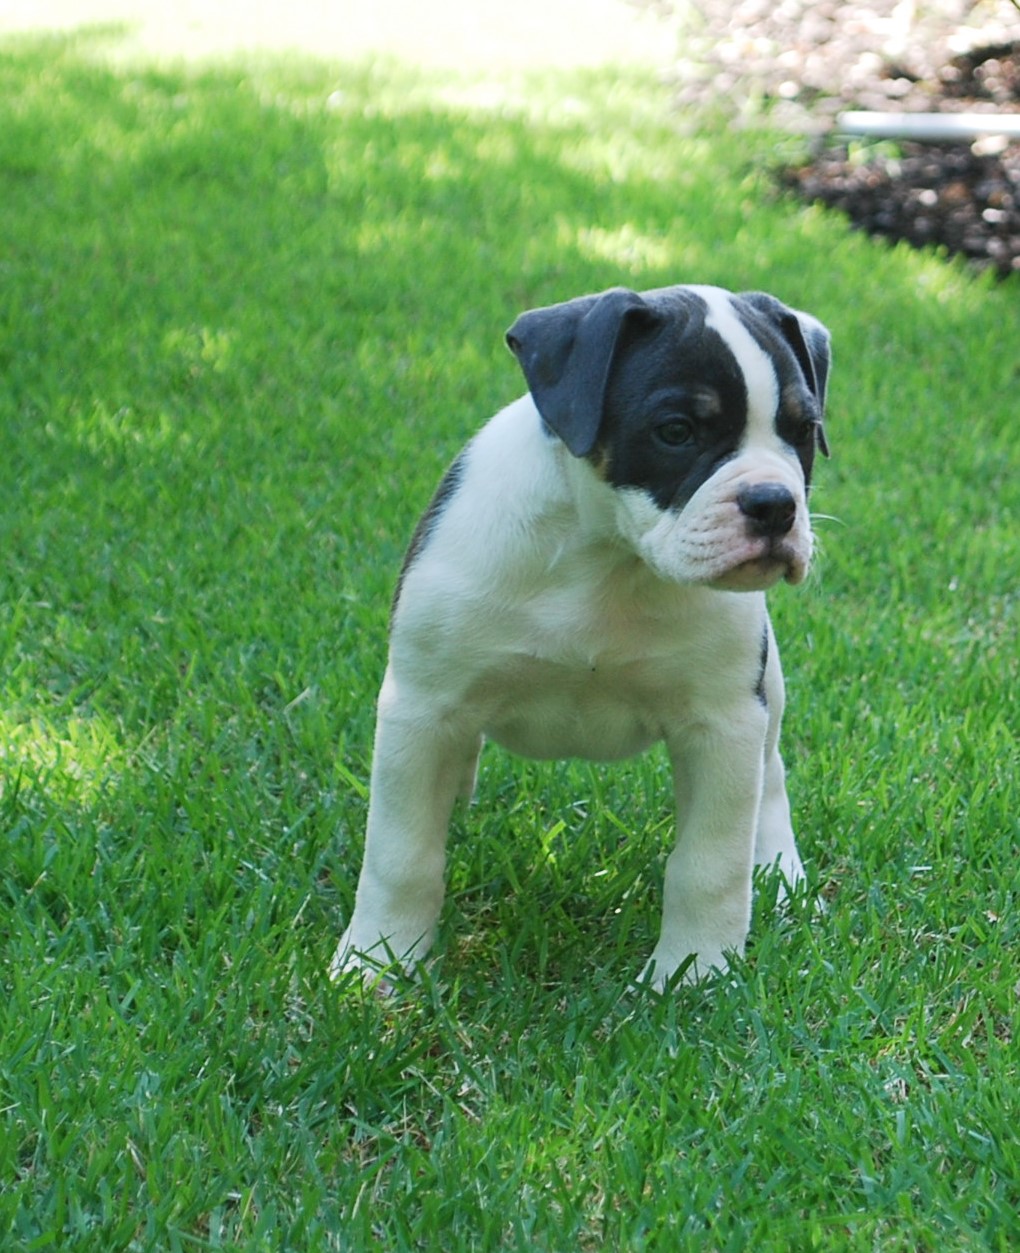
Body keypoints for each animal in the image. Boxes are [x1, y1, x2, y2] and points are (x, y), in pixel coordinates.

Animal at [333, 281, 832, 987]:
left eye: (802, 431)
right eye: (675, 431)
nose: (774, 504)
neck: (607, 557)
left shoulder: (723, 724)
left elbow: (709, 866)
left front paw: (694, 975)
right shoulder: (423, 710)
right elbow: (400, 854)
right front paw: (376, 963)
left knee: (771, 781)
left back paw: (781, 875)